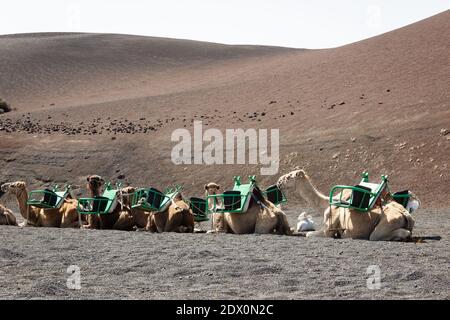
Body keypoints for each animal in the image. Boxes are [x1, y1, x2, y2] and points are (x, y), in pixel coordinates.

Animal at [276, 170, 416, 240]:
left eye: (289, 177)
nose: (278, 182)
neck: (325, 204)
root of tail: (406, 215)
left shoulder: (328, 230)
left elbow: (309, 234)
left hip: (386, 224)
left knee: (378, 235)